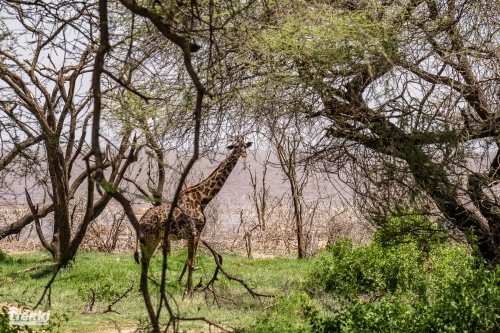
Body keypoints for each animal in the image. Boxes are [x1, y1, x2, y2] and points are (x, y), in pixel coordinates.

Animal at [135, 139, 252, 294]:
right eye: (236, 147)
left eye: (245, 146)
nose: (244, 154)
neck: (203, 199)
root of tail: (141, 220)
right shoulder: (192, 232)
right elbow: (190, 262)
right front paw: (189, 291)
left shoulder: (198, 233)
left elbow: (191, 261)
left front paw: (189, 289)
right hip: (149, 238)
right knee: (144, 261)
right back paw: (142, 290)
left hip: (155, 238)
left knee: (146, 260)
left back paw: (142, 289)